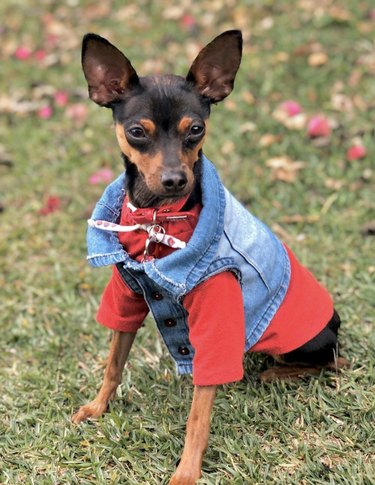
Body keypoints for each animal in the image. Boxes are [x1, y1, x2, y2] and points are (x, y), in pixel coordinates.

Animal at [72, 31, 348, 484]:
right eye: (137, 132)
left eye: (196, 129)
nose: (174, 179)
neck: (158, 220)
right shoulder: (127, 294)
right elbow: (114, 362)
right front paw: (98, 406)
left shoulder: (216, 318)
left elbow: (198, 415)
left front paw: (187, 471)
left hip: (307, 343)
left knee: (332, 361)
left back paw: (274, 372)